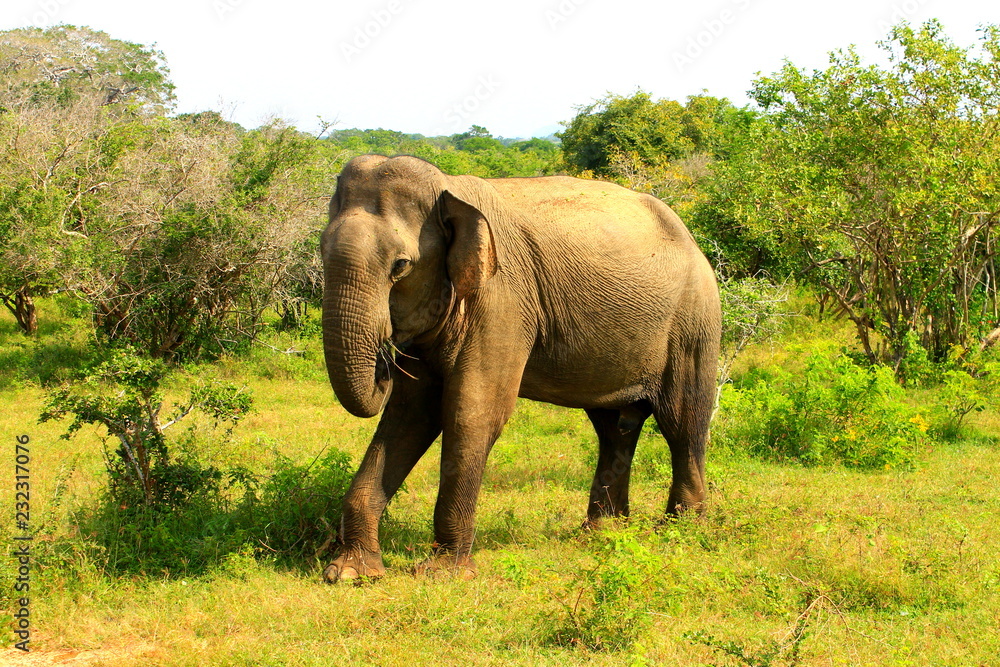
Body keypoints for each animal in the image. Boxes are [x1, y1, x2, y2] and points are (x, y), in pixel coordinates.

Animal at [320, 154, 721, 582]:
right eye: (321, 251)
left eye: (400, 266)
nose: (385, 365)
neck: (449, 188)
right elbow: (410, 414)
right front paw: (350, 574)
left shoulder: (502, 298)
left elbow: (472, 411)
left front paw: (444, 574)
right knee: (614, 428)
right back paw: (603, 534)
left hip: (693, 320)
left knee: (682, 422)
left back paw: (681, 530)